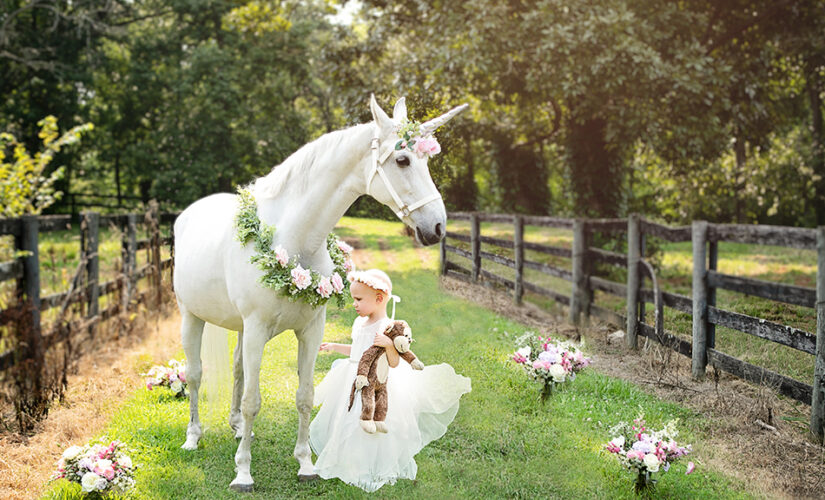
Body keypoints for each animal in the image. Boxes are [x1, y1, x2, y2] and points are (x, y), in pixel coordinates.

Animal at [171, 95, 466, 490]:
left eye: (427, 161)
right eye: (403, 160)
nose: (437, 227)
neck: (292, 236)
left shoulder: (310, 330)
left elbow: (304, 396)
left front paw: (305, 464)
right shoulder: (258, 328)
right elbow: (252, 401)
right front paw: (244, 472)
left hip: (240, 329)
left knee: (236, 370)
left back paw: (237, 429)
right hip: (192, 318)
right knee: (195, 374)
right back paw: (193, 436)